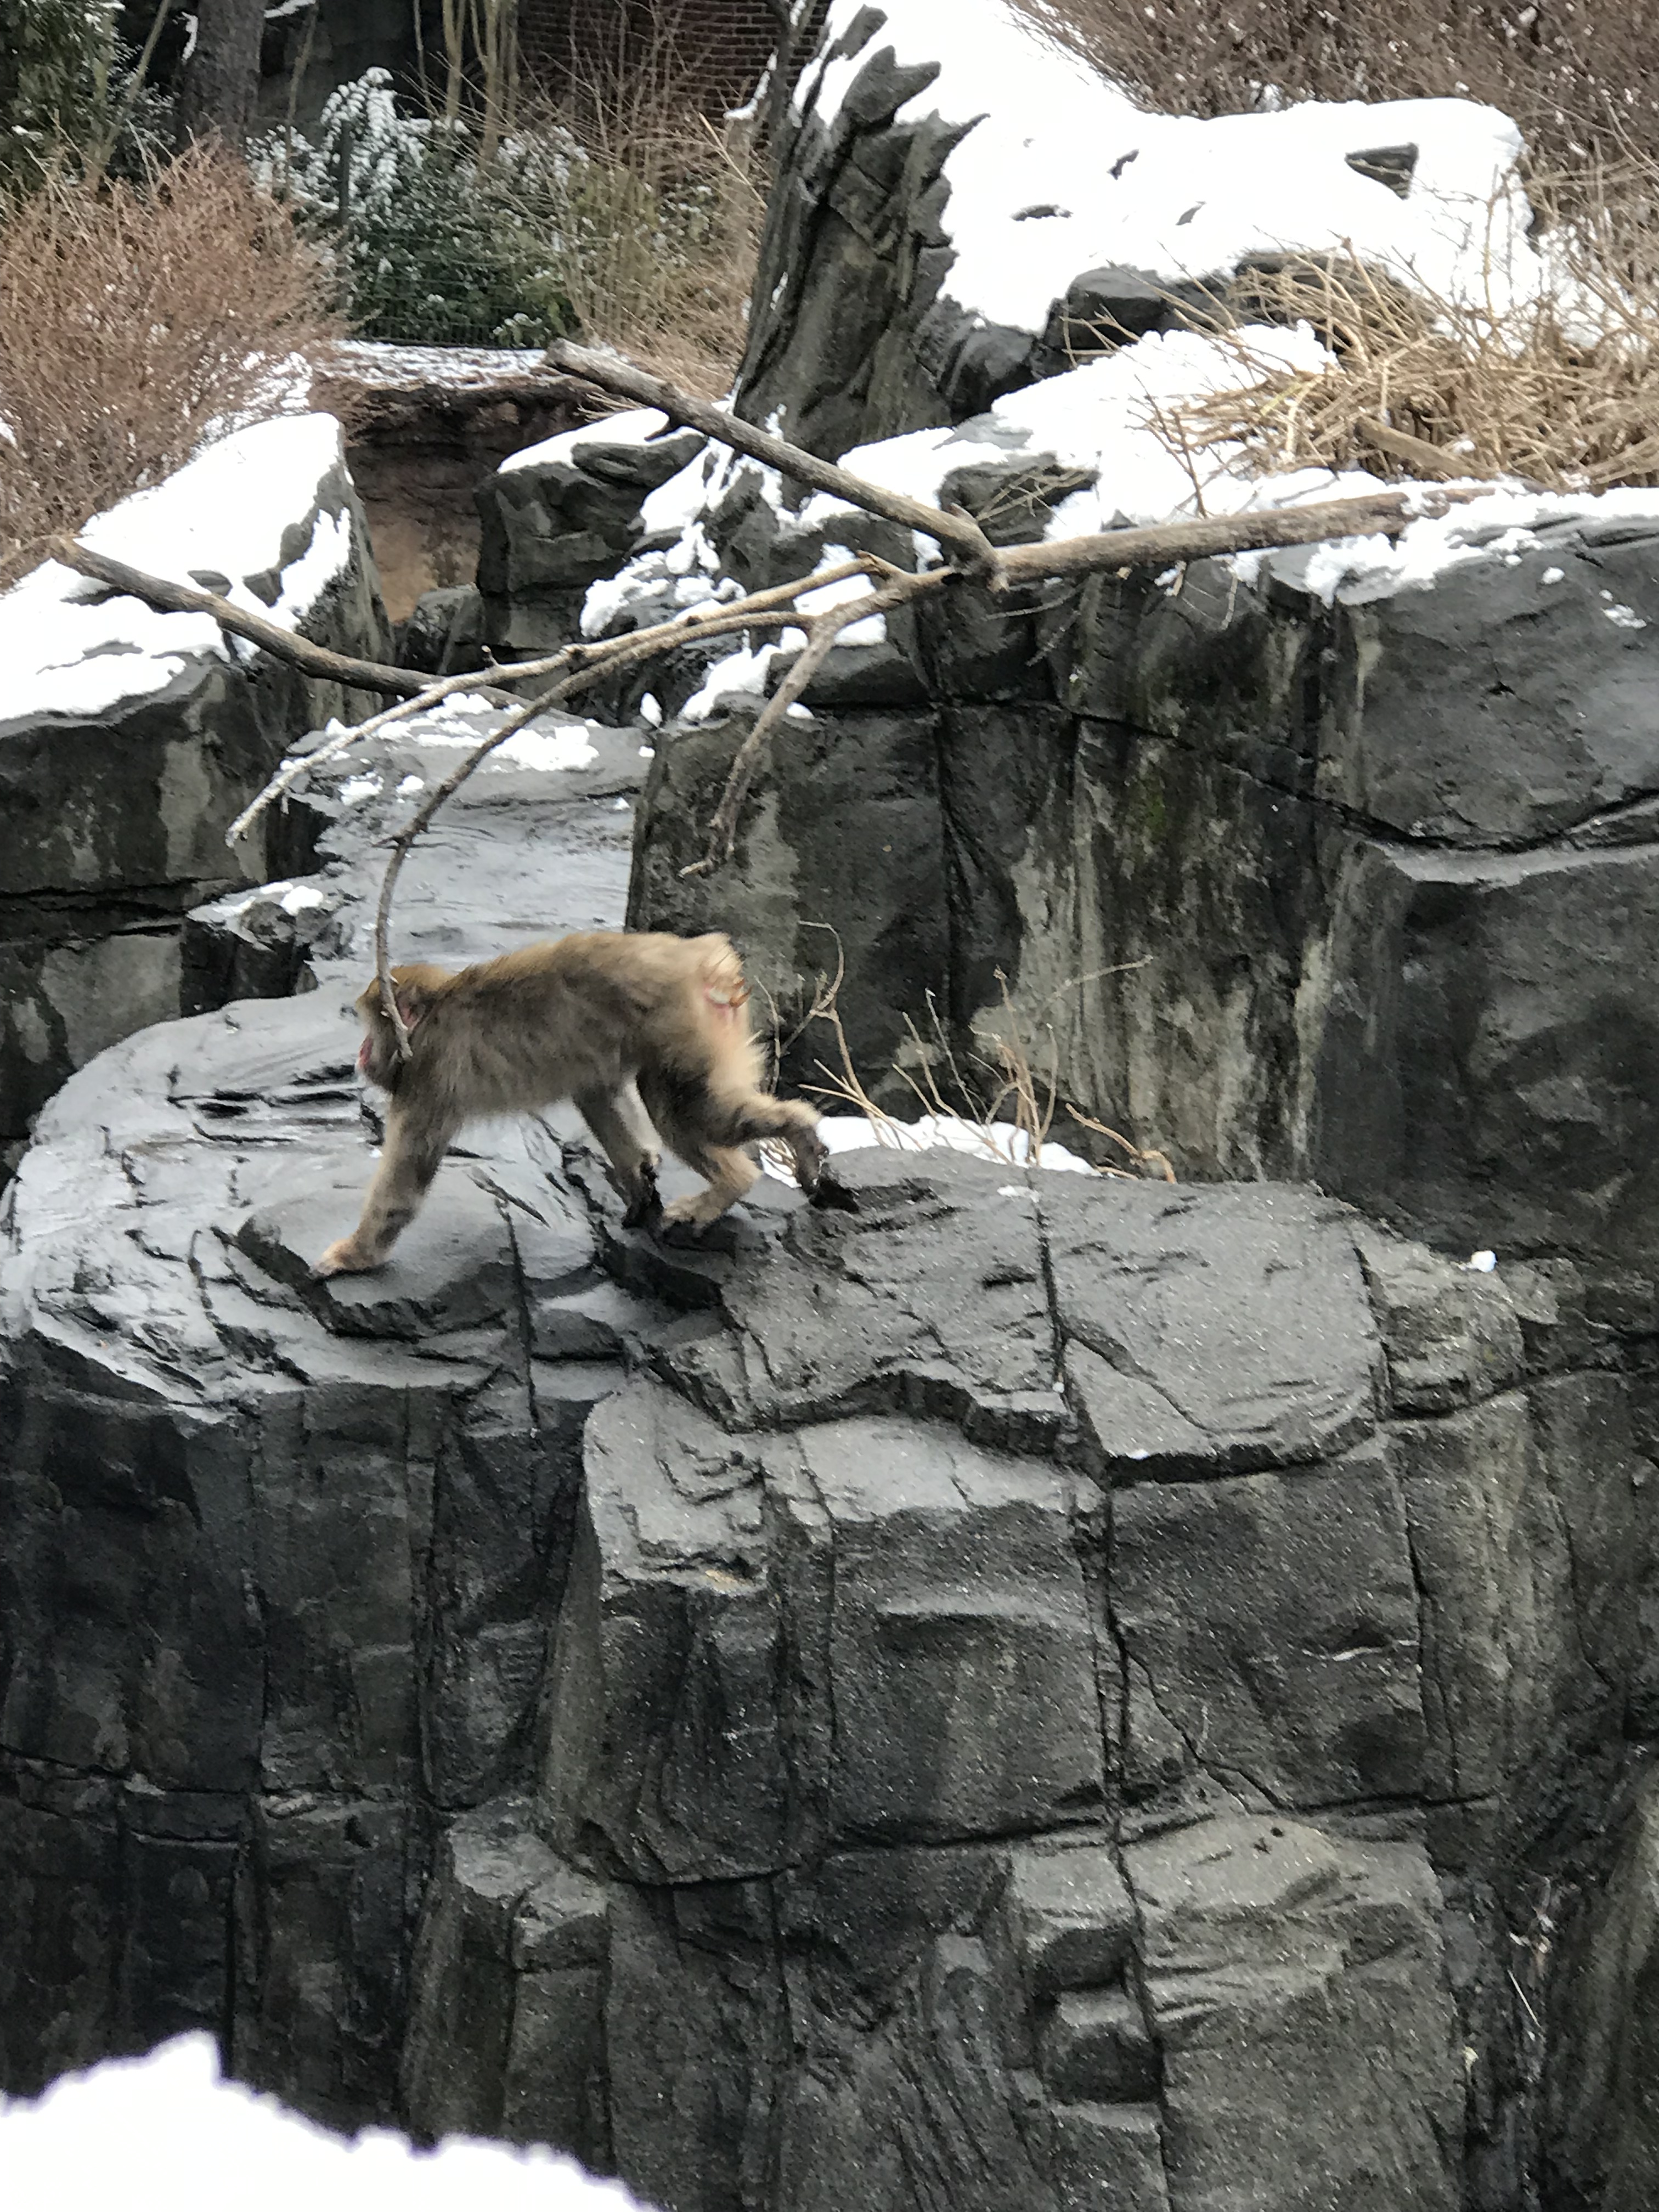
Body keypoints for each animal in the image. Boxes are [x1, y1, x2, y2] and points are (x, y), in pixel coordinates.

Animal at [314, 930, 826, 1278]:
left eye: (370, 1030)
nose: (361, 1054)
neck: (433, 1016)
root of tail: (699, 955)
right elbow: (595, 1090)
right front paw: (640, 1176)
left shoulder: (429, 1077)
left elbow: (403, 1184)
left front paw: (354, 1255)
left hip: (686, 1026)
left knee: (682, 1110)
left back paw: (762, 1160)